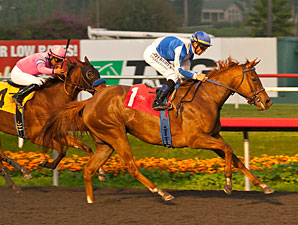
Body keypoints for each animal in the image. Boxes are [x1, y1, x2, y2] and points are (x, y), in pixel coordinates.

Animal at [0, 56, 103, 190]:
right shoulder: (36, 137)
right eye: (90, 73)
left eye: (98, 72)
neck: (51, 99)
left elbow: (84, 146)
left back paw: (22, 174)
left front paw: (100, 172)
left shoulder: (56, 132)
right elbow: (62, 149)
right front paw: (46, 163)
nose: (103, 88)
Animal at [42, 57, 274, 202]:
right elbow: (228, 150)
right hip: (116, 134)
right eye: (254, 78)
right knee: (130, 165)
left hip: (104, 142)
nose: (267, 101)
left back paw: (91, 201)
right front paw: (227, 184)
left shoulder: (212, 136)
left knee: (89, 169)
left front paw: (263, 186)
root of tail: (89, 101)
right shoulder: (196, 139)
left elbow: (235, 157)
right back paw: (162, 192)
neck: (205, 97)